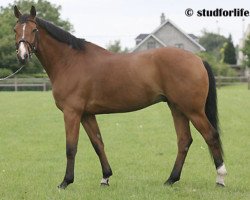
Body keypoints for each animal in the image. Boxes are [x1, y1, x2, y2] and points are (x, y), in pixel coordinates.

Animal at [12, 5, 227, 188]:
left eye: (34, 30)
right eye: (15, 30)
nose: (22, 56)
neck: (69, 61)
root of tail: (197, 59)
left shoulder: (72, 113)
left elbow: (71, 147)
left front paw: (65, 182)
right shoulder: (86, 114)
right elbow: (98, 144)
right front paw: (105, 177)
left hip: (192, 110)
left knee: (211, 136)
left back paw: (220, 179)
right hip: (177, 108)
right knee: (184, 141)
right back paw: (171, 179)